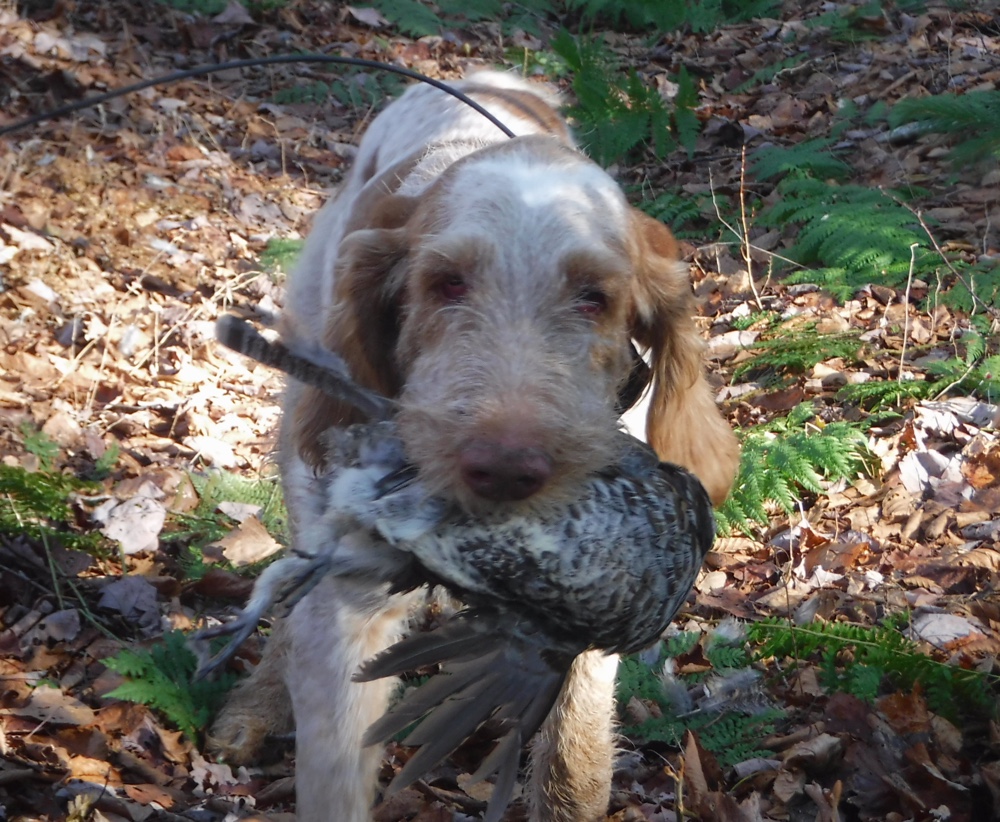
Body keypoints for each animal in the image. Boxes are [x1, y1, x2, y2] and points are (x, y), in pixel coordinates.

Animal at [207, 71, 740, 822]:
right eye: (445, 283)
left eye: (594, 298)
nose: (506, 470)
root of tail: (490, 80)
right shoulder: (349, 609)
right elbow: (335, 765)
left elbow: (572, 763)